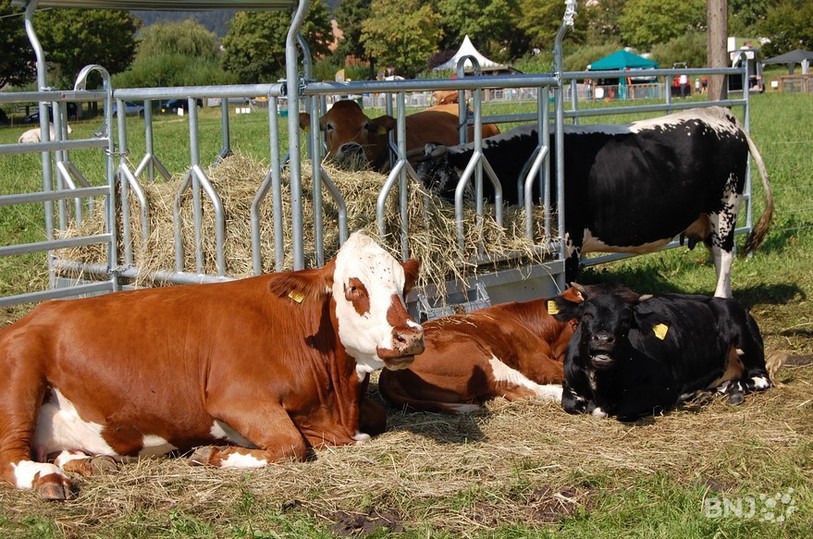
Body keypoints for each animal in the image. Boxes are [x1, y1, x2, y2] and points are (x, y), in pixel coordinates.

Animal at [0, 232, 425, 499]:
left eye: (403, 286)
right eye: (354, 287)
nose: (410, 336)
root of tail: (29, 318)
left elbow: (376, 416)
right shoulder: (234, 398)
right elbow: (292, 446)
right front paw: (211, 455)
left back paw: (91, 462)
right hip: (21, 378)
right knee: (11, 456)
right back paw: (48, 478)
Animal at [414, 107, 774, 299]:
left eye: (438, 181)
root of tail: (718, 113)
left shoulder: (568, 240)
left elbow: (568, 286)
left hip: (725, 207)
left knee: (725, 257)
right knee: (717, 257)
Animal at [558, 283, 773, 421]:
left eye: (626, 319)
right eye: (587, 314)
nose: (603, 339)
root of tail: (727, 302)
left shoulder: (664, 388)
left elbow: (625, 409)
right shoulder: (569, 384)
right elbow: (569, 403)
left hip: (747, 342)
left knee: (761, 378)